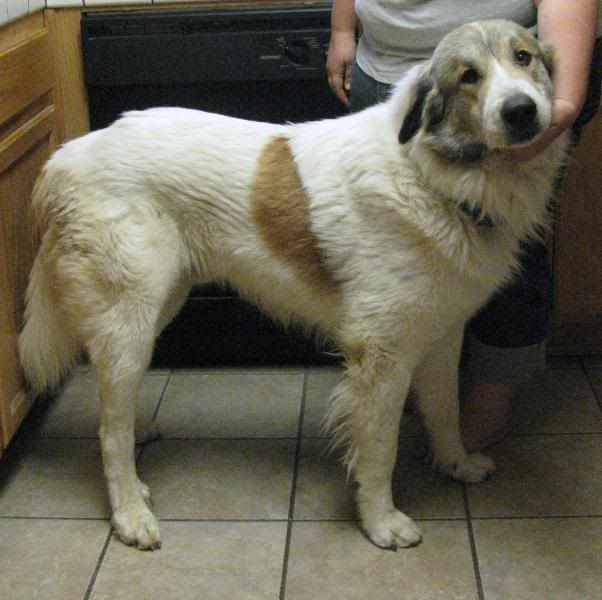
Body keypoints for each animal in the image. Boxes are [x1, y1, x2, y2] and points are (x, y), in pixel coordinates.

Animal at [17, 22, 564, 548]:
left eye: (523, 57)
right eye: (469, 76)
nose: (520, 111)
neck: (430, 176)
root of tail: (61, 157)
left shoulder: (442, 335)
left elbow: (445, 411)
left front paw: (456, 464)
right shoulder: (380, 356)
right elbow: (379, 451)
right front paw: (380, 522)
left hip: (159, 306)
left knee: (117, 407)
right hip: (129, 321)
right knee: (108, 431)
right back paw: (131, 514)